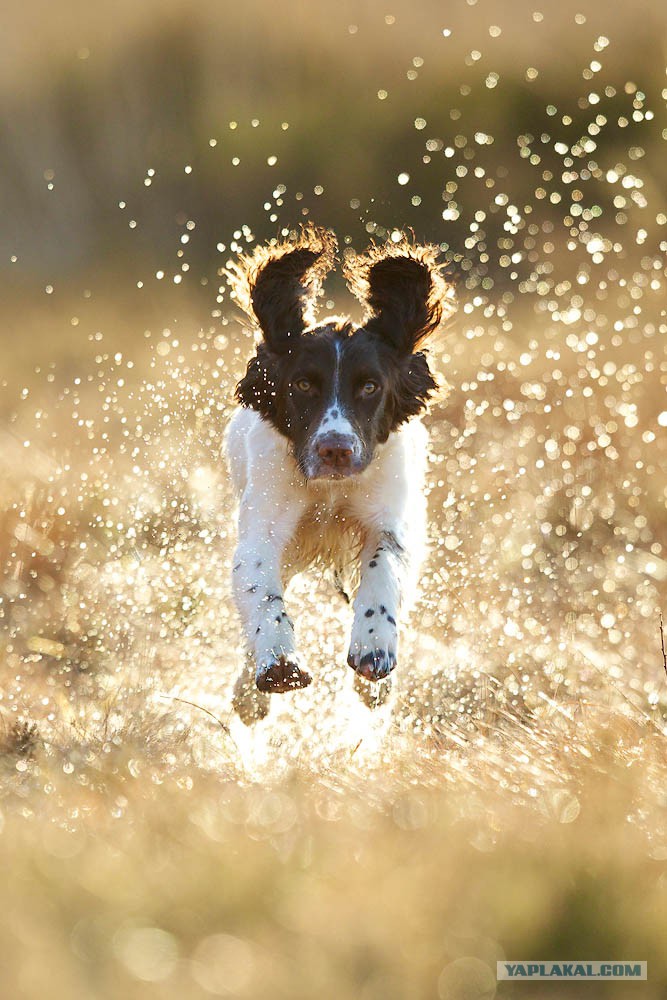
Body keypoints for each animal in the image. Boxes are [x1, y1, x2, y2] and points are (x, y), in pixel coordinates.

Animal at [224, 227, 454, 720]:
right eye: (301, 384)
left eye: (369, 386)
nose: (335, 450)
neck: (330, 491)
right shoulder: (263, 531)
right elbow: (262, 593)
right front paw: (277, 664)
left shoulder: (390, 520)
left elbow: (383, 571)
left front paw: (373, 650)